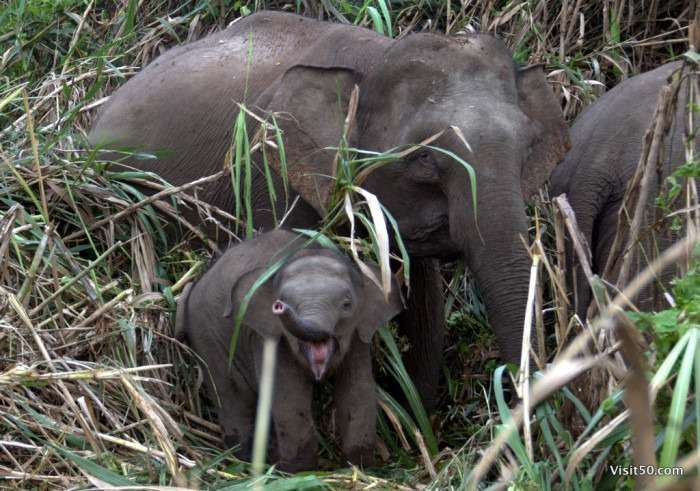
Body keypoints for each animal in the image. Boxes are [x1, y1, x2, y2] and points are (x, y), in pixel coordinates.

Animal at [175, 229, 402, 471]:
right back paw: (245, 459)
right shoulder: (269, 338)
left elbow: (358, 391)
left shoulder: (359, 334)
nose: (279, 307)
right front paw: (299, 471)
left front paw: (360, 467)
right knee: (231, 395)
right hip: (206, 334)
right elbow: (289, 397)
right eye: (281, 301)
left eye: (347, 304)